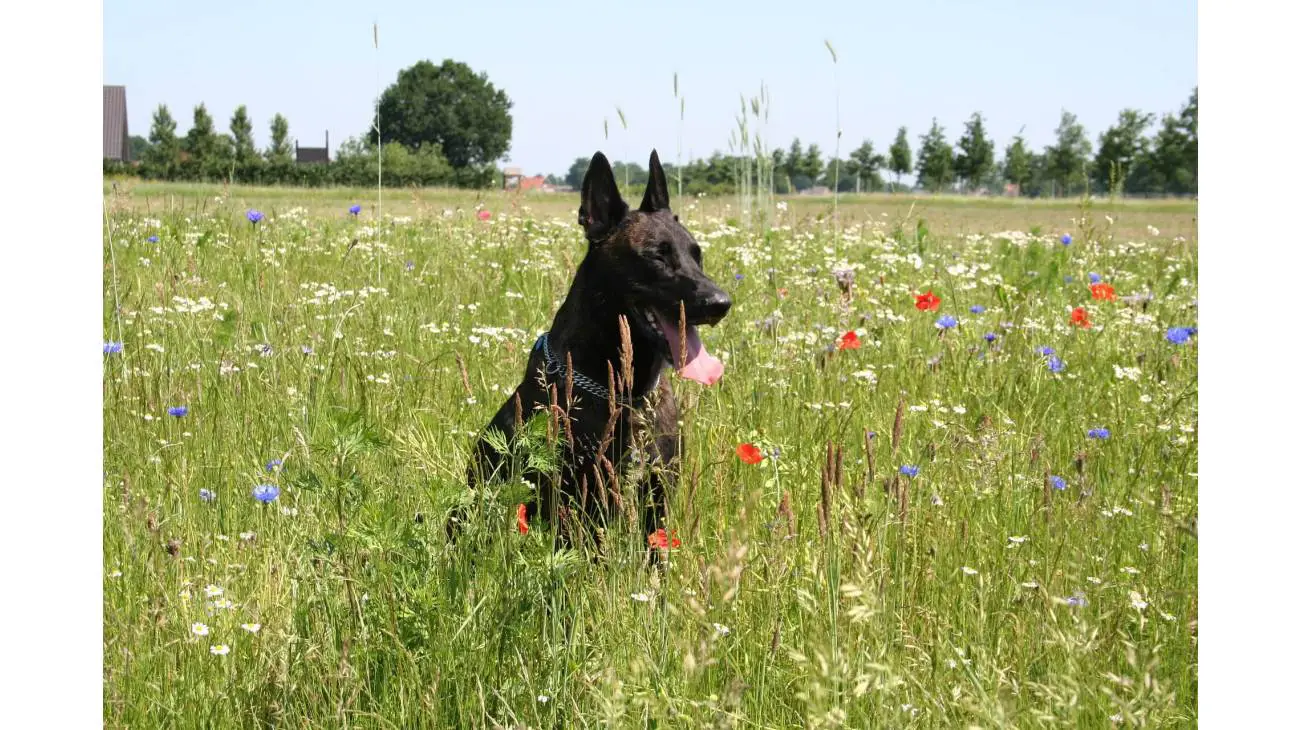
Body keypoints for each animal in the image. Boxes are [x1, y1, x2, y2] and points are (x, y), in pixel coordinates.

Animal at [447, 150, 733, 553]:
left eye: (697, 254)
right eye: (657, 257)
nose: (720, 303)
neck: (626, 394)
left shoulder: (656, 501)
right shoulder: (580, 504)